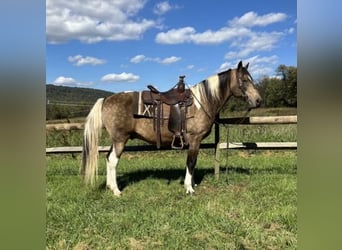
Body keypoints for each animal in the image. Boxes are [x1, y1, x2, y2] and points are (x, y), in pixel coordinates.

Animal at [81, 61, 262, 195]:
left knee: (108, 158)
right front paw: (189, 188)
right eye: (244, 80)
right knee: (113, 160)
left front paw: (193, 185)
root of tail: (106, 99)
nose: (258, 100)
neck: (202, 101)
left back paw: (110, 186)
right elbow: (191, 162)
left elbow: (193, 163)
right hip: (120, 139)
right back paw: (116, 190)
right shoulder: (195, 140)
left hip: (117, 140)